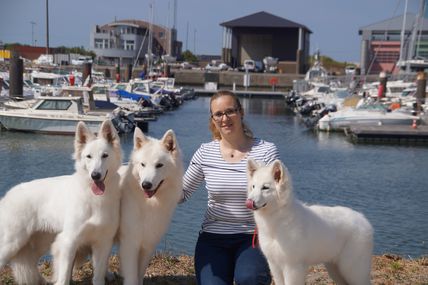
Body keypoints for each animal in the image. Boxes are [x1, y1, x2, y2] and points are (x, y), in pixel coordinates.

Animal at [0, 120, 122, 284]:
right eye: (88, 156)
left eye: (105, 156)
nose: (95, 175)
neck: (94, 198)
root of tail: (8, 194)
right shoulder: (69, 241)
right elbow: (64, 275)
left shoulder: (103, 243)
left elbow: (98, 275)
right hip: (11, 244)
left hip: (38, 243)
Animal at [118, 127, 183, 282]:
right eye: (143, 164)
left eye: (159, 165)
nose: (146, 185)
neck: (149, 204)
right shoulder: (130, 245)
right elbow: (131, 278)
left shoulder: (147, 245)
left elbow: (139, 275)